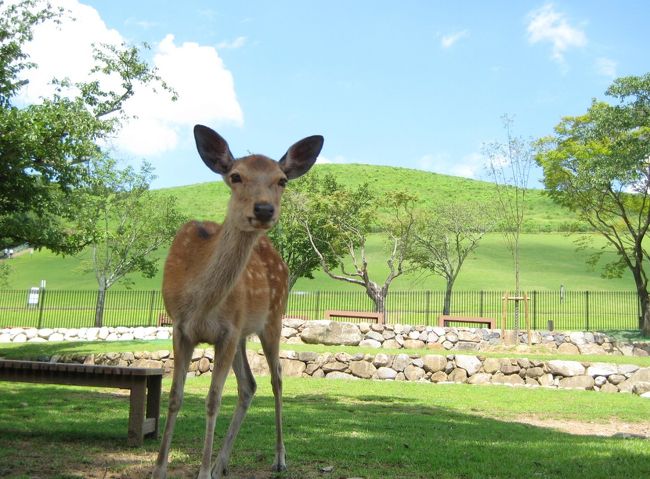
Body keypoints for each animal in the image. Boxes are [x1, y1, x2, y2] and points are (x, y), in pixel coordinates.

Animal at [152, 125, 323, 479]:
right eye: (235, 176)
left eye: (281, 180)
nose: (263, 209)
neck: (201, 301)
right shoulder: (181, 328)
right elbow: (175, 396)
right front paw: (159, 469)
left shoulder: (227, 331)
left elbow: (213, 399)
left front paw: (202, 472)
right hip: (244, 334)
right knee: (249, 385)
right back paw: (222, 463)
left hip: (272, 319)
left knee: (276, 379)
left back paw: (278, 458)